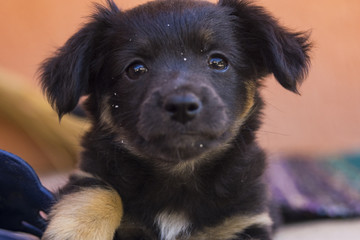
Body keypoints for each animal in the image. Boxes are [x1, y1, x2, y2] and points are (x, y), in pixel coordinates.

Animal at [38, 0, 310, 239]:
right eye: (135, 69)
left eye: (218, 61)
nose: (181, 106)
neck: (178, 174)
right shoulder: (91, 169)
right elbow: (98, 187)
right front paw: (78, 230)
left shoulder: (244, 220)